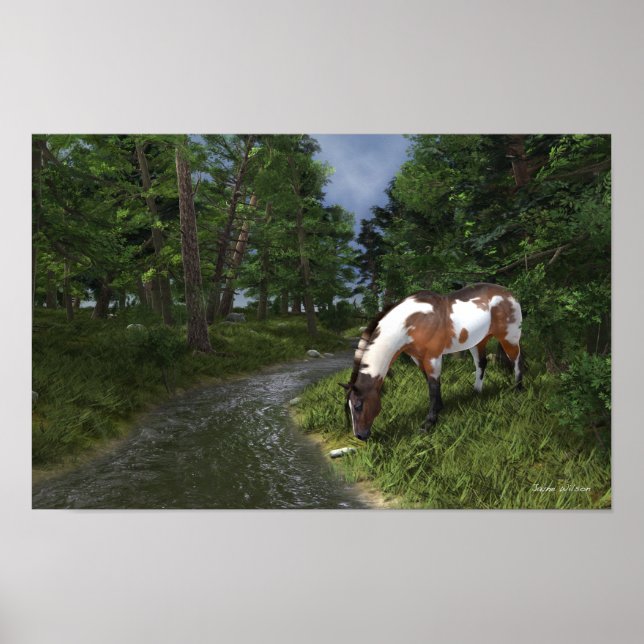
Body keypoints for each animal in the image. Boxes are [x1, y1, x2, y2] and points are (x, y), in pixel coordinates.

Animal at [340, 283, 523, 440]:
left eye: (358, 406)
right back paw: (476, 392)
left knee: (516, 360)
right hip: (478, 341)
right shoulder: (417, 358)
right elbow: (430, 382)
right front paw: (439, 409)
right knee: (481, 363)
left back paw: (518, 389)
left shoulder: (433, 357)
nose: (360, 436)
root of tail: (509, 293)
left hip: (509, 337)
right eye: (349, 406)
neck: (412, 321)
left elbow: (433, 386)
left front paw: (429, 423)